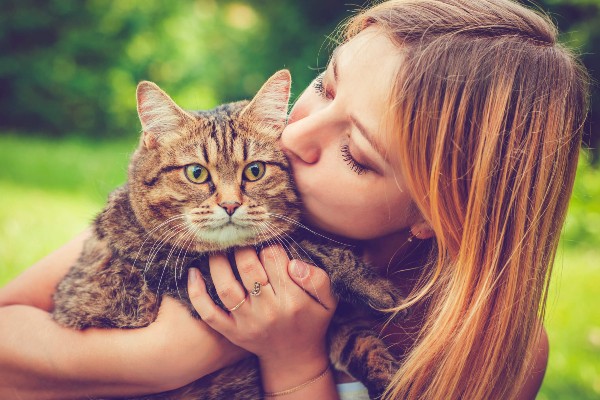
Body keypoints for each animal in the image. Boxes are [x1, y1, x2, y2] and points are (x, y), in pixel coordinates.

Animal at [52, 70, 404, 398]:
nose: (230, 204)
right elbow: (305, 247)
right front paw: (377, 287)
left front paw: (390, 375)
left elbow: (362, 342)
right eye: (196, 173)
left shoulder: (336, 323)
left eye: (255, 170)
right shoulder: (185, 272)